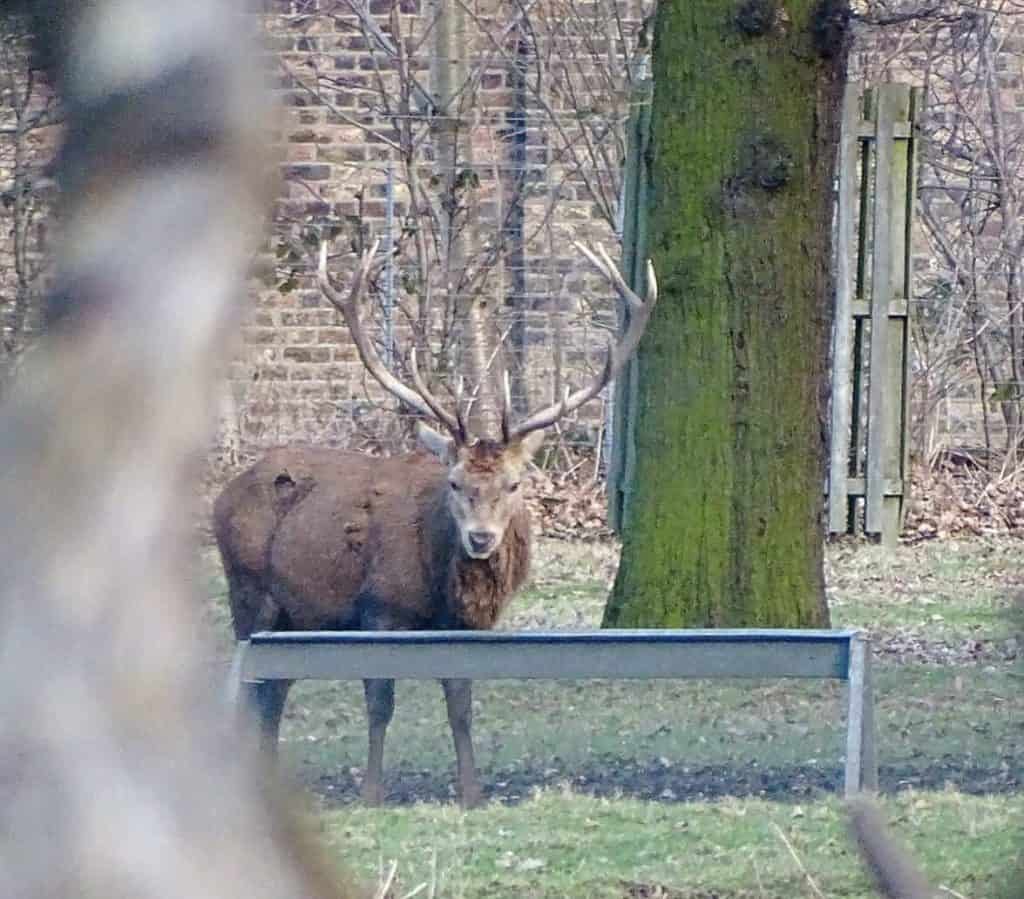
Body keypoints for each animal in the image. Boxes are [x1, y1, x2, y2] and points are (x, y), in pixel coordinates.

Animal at [213, 238, 657, 808]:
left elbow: (461, 703)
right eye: (454, 482)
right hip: (249, 593)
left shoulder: (467, 628)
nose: (481, 538)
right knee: (252, 691)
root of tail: (224, 494)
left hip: (296, 619)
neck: (441, 588)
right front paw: (372, 793)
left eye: (515, 484)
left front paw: (472, 793)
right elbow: (381, 703)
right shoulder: (379, 610)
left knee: (273, 695)